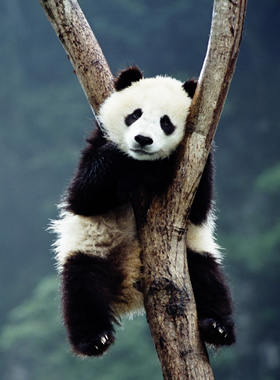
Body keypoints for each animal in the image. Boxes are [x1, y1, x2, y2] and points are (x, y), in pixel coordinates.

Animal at [51, 66, 235, 356]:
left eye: (166, 123)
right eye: (134, 114)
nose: (142, 140)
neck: (141, 164)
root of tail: (130, 289)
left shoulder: (196, 162)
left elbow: (199, 208)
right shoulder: (96, 145)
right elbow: (83, 195)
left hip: (192, 256)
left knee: (209, 280)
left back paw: (218, 327)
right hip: (92, 249)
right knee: (82, 289)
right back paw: (95, 339)